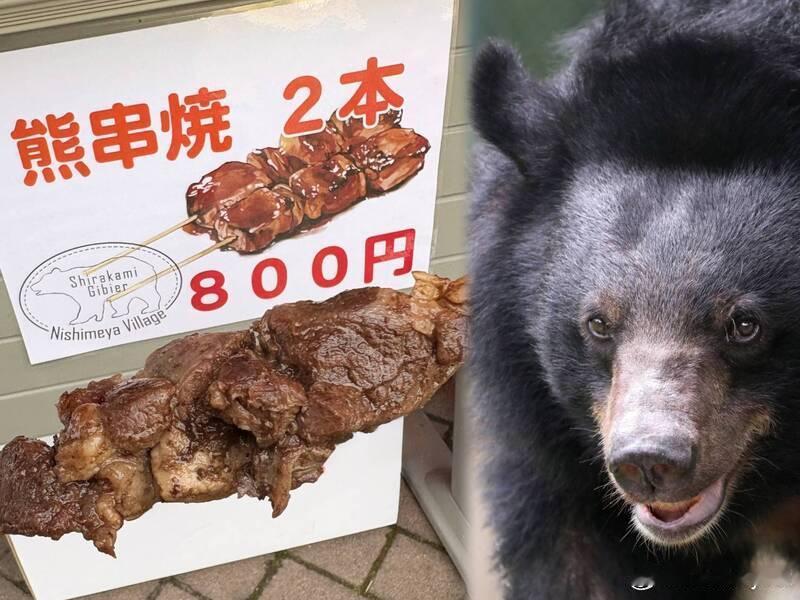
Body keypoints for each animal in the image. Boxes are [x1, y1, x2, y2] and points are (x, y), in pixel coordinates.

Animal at [30, 257, 162, 325]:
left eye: (42, 280)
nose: (32, 286)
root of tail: (150, 265)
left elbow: (87, 307)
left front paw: (76, 320)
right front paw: (97, 317)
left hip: (141, 282)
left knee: (149, 295)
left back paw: (149, 308)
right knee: (120, 302)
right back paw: (117, 313)